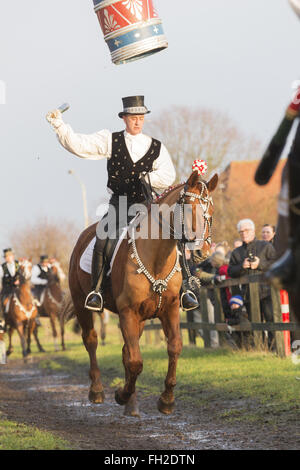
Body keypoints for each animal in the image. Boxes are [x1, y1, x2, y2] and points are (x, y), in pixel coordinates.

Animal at [67, 172, 218, 414]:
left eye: (210, 211)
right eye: (187, 208)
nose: (201, 251)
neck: (156, 259)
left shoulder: (169, 310)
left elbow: (173, 348)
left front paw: (166, 400)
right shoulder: (128, 312)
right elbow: (136, 361)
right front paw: (121, 394)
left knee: (126, 350)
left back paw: (131, 403)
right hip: (82, 303)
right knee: (91, 341)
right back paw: (97, 390)